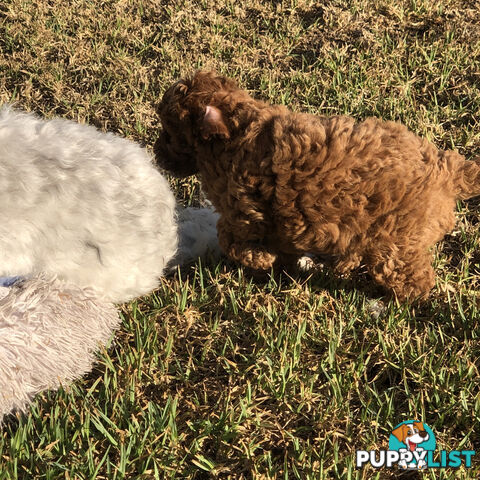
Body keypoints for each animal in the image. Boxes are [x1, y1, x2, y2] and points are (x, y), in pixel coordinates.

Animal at [154, 71, 480, 300]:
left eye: (169, 134)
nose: (156, 154)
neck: (238, 132)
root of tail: (447, 171)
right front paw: (279, 264)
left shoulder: (245, 214)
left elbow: (231, 239)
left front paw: (260, 260)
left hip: (397, 243)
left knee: (412, 279)